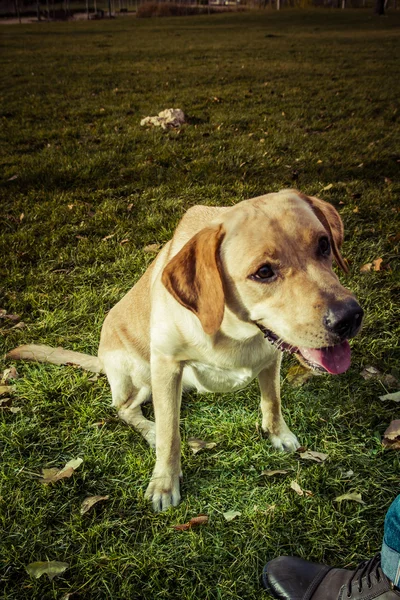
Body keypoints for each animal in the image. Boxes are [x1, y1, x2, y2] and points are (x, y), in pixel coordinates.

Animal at [6, 189, 362, 510]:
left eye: (324, 245)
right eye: (263, 272)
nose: (349, 317)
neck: (233, 331)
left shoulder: (270, 357)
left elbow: (272, 402)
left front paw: (279, 435)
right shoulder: (165, 365)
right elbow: (170, 434)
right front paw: (164, 483)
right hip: (139, 371)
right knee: (125, 409)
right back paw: (149, 429)